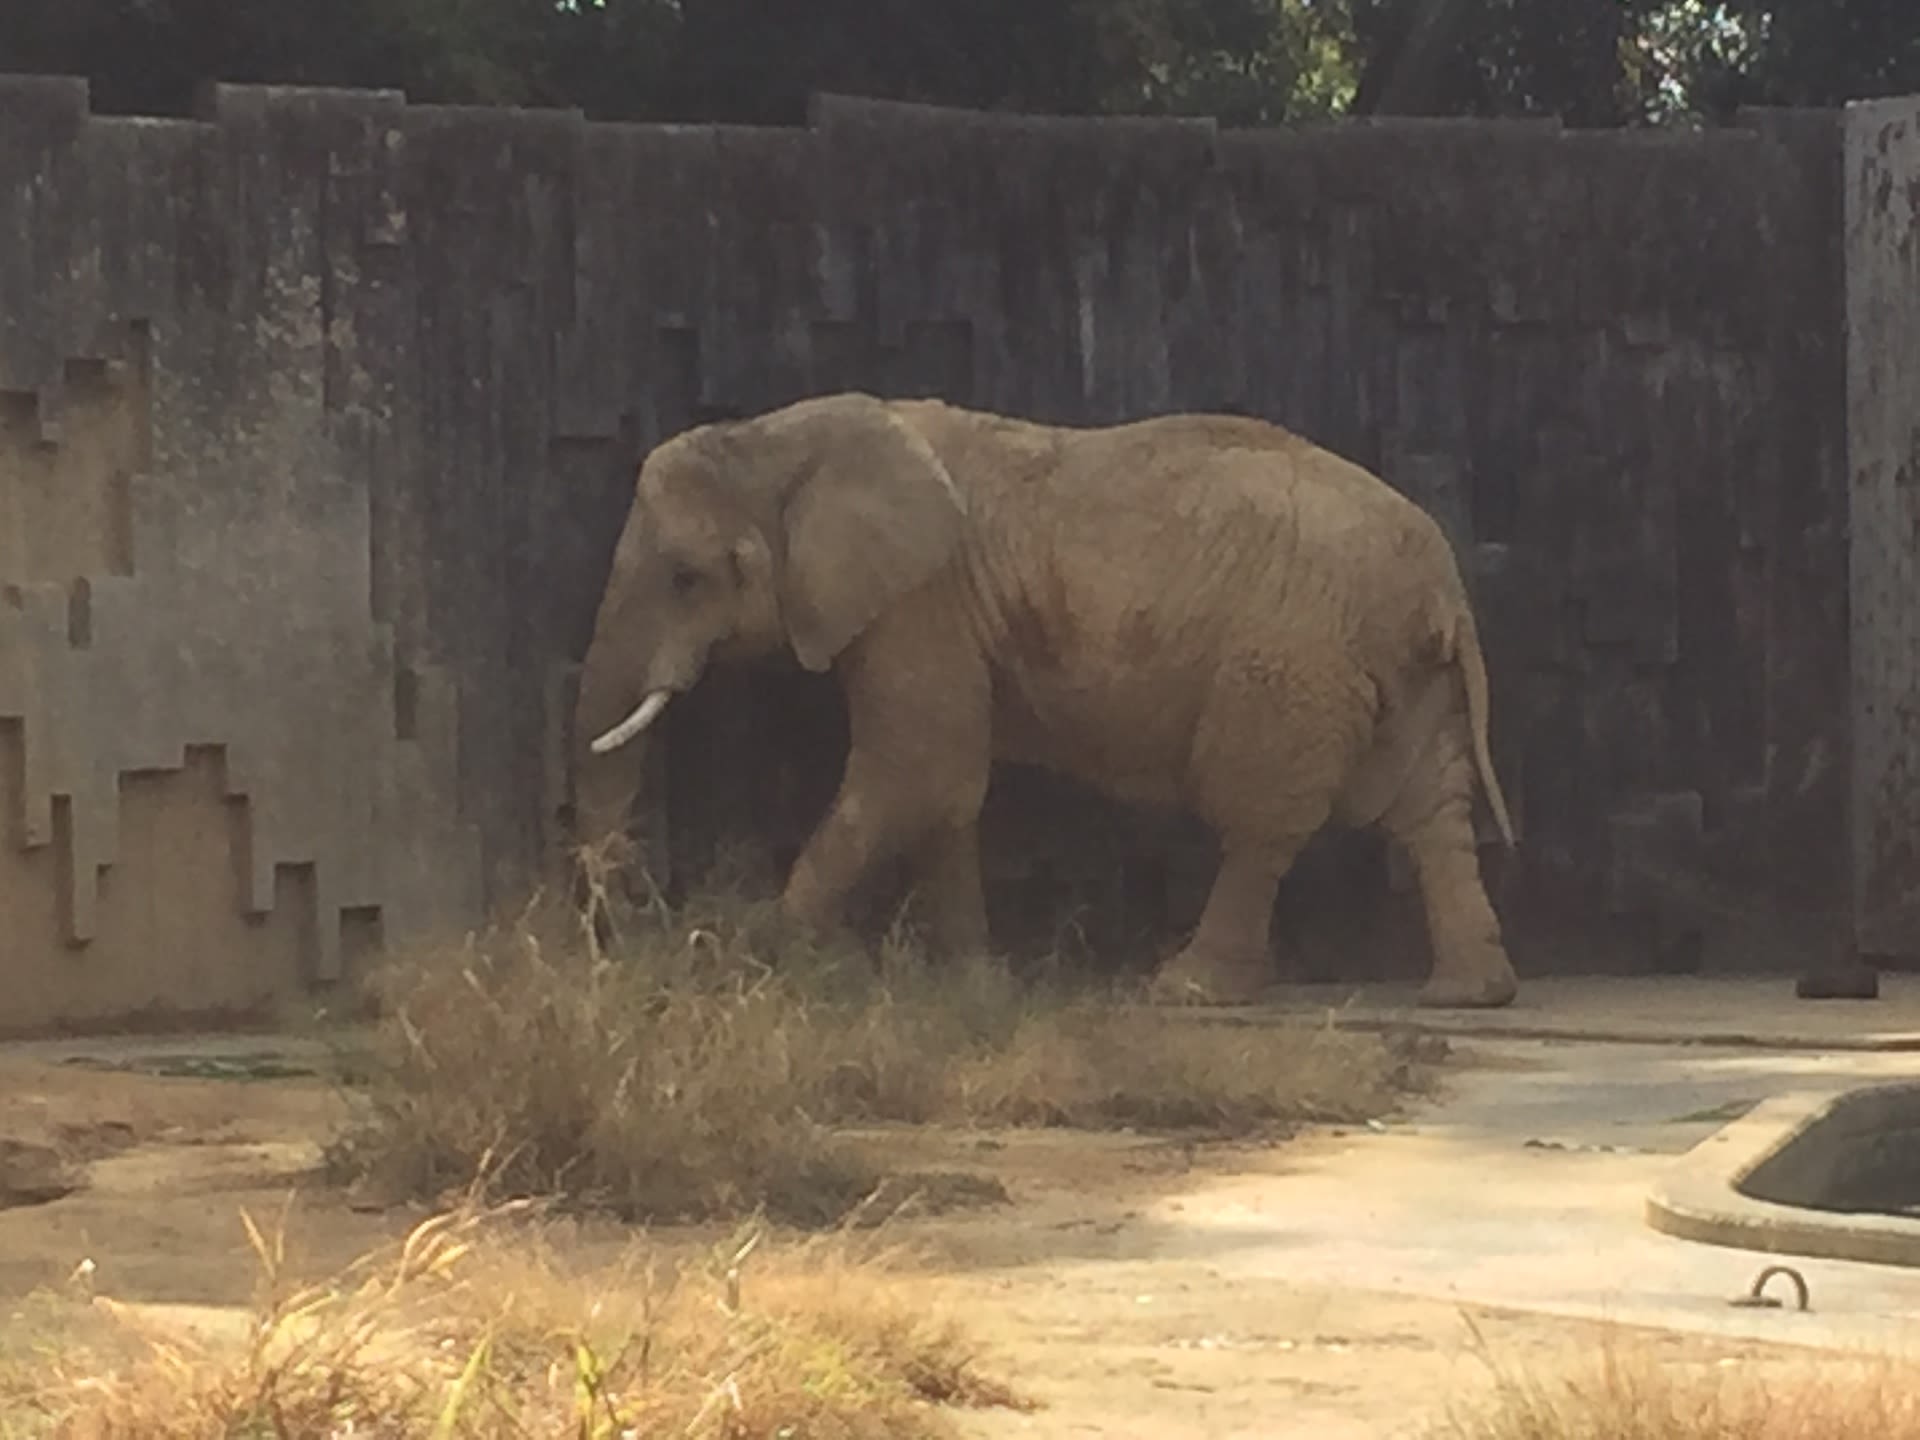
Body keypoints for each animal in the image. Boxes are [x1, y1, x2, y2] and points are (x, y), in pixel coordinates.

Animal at [576, 389, 1520, 1006]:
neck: (780, 438)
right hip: (1394, 665)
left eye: (687, 578)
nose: (634, 931)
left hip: (1294, 658)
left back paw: (1188, 990)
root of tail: (1443, 585)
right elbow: (947, 789)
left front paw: (755, 959)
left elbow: (912, 769)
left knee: (1261, 821)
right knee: (1429, 809)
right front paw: (971, 984)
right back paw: (1467, 996)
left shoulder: (920, 599)